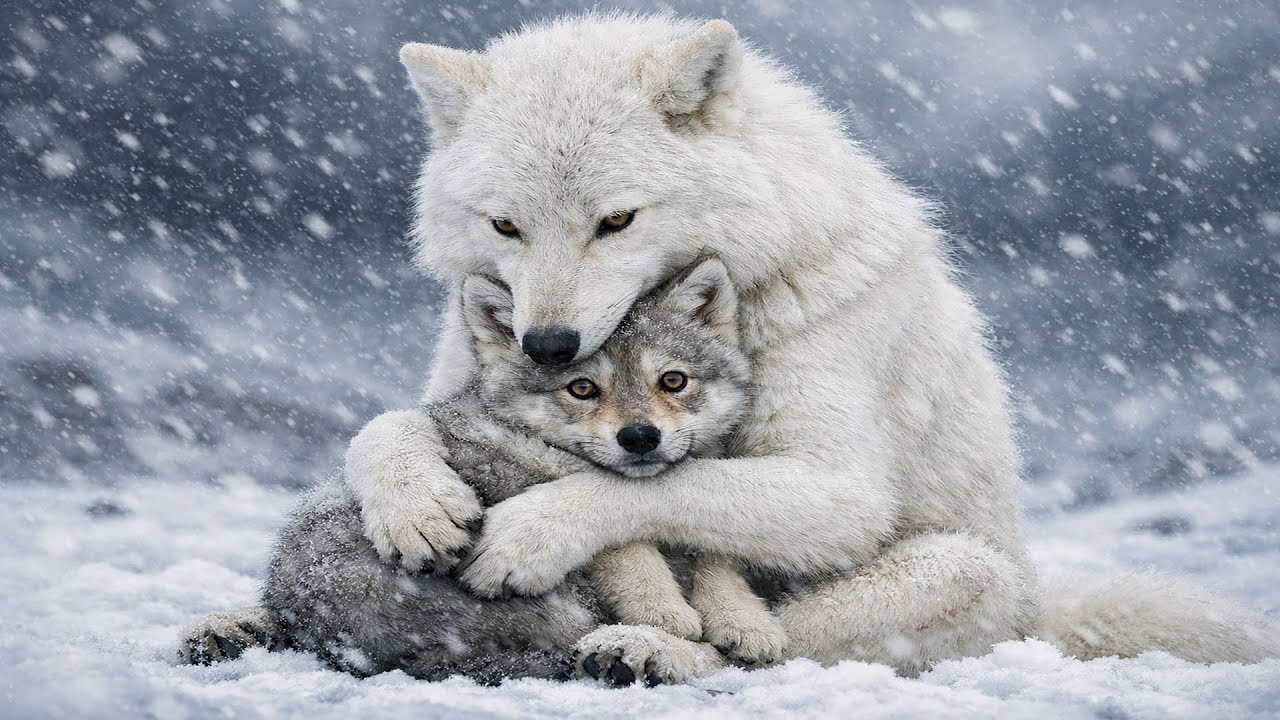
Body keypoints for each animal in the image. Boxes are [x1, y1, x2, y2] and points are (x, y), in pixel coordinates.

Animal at [181, 258, 788, 681]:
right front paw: (664, 615)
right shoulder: (517, 479)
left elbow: (712, 556)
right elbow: (626, 547)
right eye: (582, 388)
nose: (640, 437)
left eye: (673, 380)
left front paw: (744, 622)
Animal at [333, 12, 1278, 682]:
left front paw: (528, 535)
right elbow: (380, 425)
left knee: (769, 647)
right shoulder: (465, 385)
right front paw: (415, 508)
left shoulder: (837, 487)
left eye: (616, 219)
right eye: (505, 225)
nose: (549, 343)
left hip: (965, 569)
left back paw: (648, 650)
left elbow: (651, 485)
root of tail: (1042, 613)